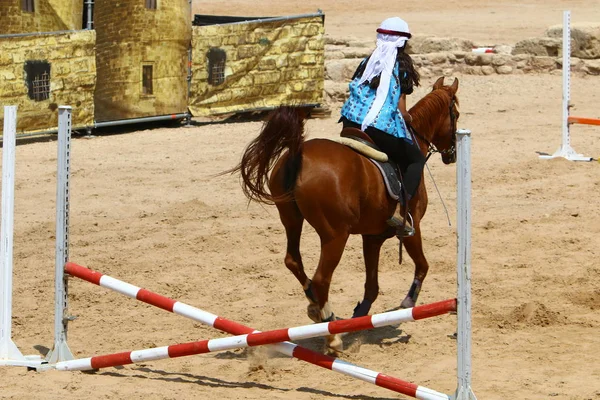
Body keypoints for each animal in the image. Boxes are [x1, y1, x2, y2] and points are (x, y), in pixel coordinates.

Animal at [230, 76, 460, 350]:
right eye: (456, 115)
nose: (452, 154)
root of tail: (299, 154)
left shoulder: (372, 237)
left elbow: (372, 286)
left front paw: (359, 315)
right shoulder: (411, 230)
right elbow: (423, 266)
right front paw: (407, 303)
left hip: (291, 220)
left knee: (293, 261)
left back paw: (316, 306)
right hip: (335, 235)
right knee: (321, 278)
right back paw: (331, 332)